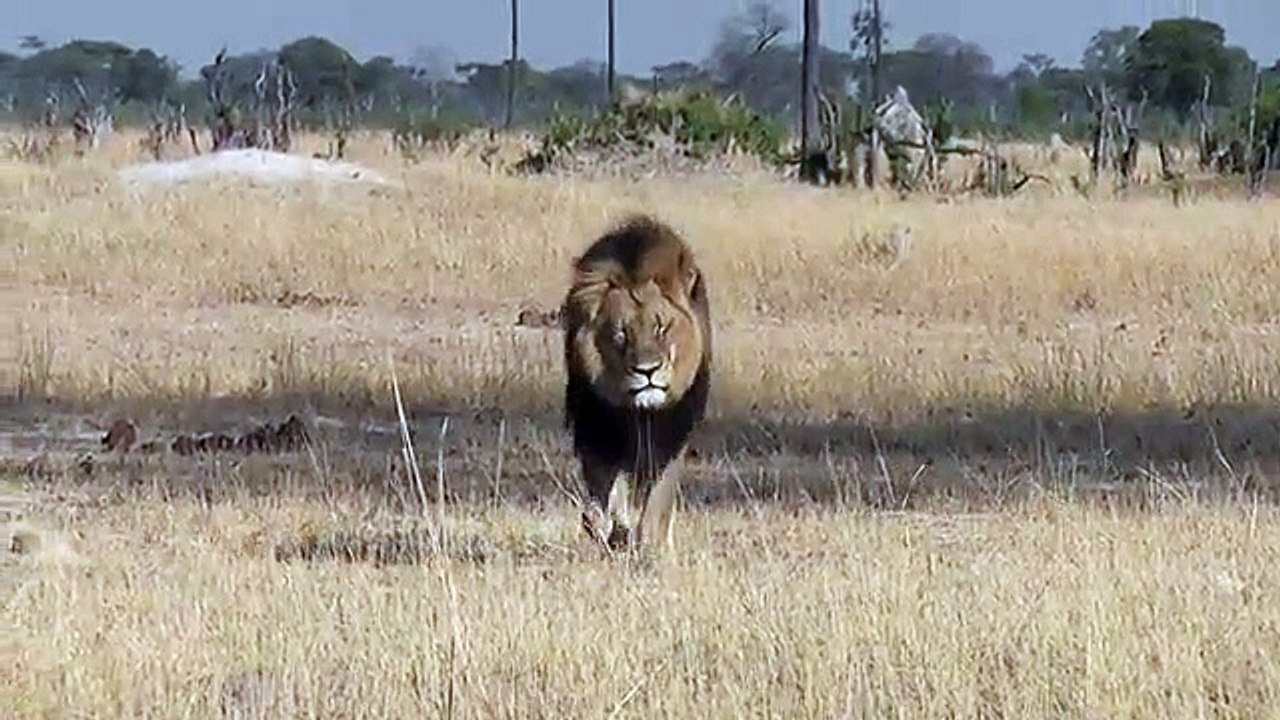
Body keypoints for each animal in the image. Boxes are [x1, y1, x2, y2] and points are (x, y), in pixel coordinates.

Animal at [561, 214, 712, 553]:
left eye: (662, 328)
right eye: (622, 333)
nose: (647, 371)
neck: (637, 413)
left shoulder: (669, 439)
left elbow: (657, 499)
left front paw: (651, 542)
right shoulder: (596, 431)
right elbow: (603, 494)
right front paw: (606, 527)